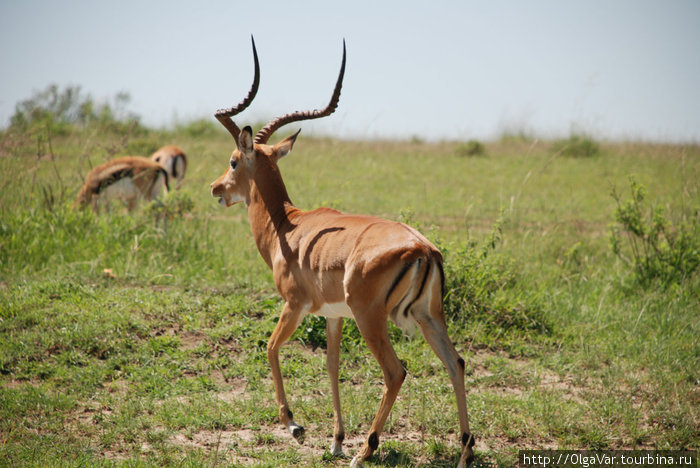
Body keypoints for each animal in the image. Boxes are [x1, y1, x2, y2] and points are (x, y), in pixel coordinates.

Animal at [209, 37, 476, 468]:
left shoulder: (294, 304)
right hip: (428, 316)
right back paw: (465, 451)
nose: (216, 188)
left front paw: (295, 426)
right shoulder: (333, 315)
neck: (287, 226)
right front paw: (334, 440)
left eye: (233, 161)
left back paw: (366, 451)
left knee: (396, 372)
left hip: (372, 319)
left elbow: (270, 347)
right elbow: (332, 366)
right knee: (457, 362)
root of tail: (422, 247)